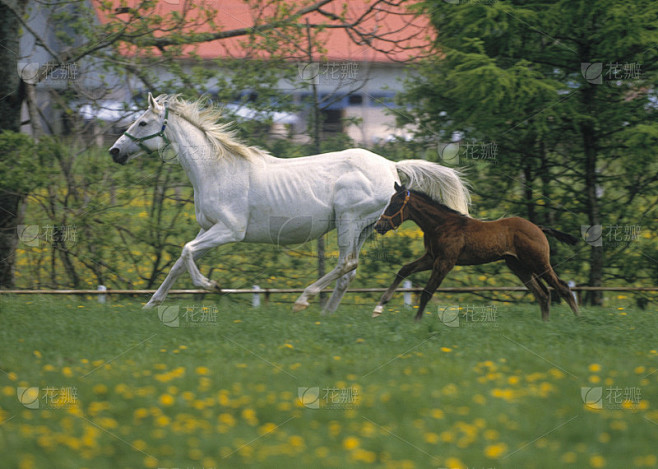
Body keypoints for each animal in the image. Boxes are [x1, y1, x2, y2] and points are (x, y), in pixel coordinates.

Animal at [108, 93, 471, 313]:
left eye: (142, 122)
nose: (114, 152)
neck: (217, 170)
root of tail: (392, 166)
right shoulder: (207, 229)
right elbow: (179, 261)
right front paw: (150, 305)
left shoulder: (229, 231)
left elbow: (184, 252)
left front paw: (212, 286)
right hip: (368, 227)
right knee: (349, 271)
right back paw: (326, 314)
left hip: (349, 221)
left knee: (345, 263)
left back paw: (303, 301)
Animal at [372, 183, 579, 321]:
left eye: (394, 204)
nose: (378, 226)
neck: (441, 225)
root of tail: (538, 228)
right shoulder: (431, 257)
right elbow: (404, 270)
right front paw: (379, 306)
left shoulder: (445, 261)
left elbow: (427, 292)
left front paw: (416, 321)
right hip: (519, 266)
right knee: (543, 294)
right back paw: (546, 323)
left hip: (538, 262)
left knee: (562, 288)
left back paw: (577, 320)